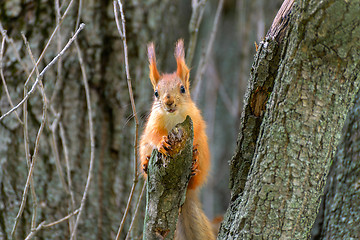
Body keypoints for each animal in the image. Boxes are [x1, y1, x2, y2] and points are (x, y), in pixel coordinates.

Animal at [140, 39, 214, 240]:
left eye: (182, 89)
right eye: (156, 93)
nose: (168, 102)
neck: (174, 118)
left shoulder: (196, 120)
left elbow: (198, 132)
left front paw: (193, 150)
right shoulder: (153, 124)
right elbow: (153, 135)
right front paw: (161, 142)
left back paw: (194, 167)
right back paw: (146, 161)